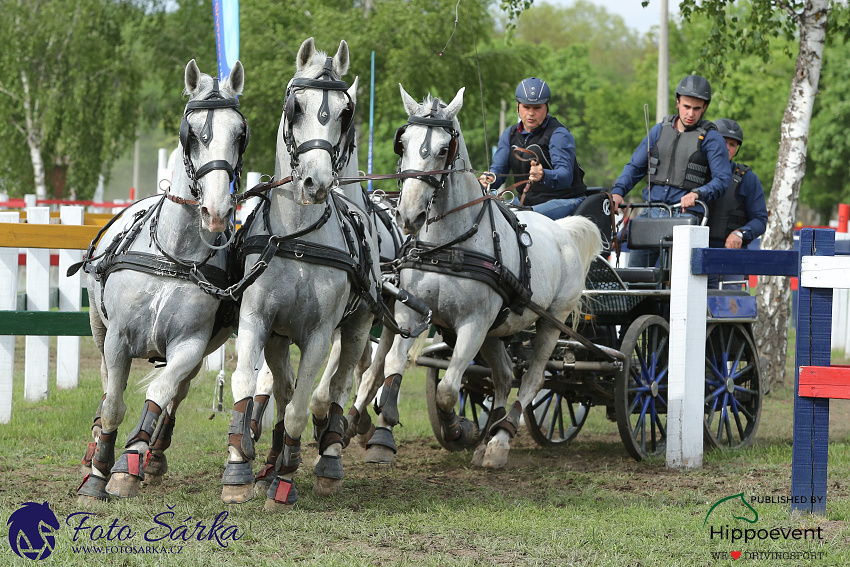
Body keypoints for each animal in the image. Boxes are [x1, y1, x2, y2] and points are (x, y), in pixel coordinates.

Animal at [75, 58, 248, 502]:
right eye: (192, 133)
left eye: (239, 134)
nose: (216, 212)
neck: (174, 255)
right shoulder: (117, 338)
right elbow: (114, 403)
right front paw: (98, 470)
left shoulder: (190, 344)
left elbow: (161, 393)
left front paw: (130, 463)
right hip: (98, 327)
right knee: (107, 387)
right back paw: (95, 446)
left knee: (176, 393)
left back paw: (152, 454)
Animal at [220, 37, 380, 508]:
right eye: (296, 106)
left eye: (345, 112)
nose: (316, 182)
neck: (298, 239)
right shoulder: (258, 320)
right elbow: (246, 387)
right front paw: (240, 468)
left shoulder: (320, 334)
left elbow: (300, 407)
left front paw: (286, 480)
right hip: (278, 337)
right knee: (283, 387)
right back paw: (270, 461)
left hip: (358, 326)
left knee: (339, 387)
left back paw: (326, 460)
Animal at [362, 86, 600, 468]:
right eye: (404, 143)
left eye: (444, 149)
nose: (409, 216)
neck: (447, 245)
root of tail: (563, 230)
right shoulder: (411, 312)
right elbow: (392, 367)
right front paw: (382, 437)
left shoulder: (473, 324)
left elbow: (447, 390)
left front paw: (460, 430)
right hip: (496, 329)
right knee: (504, 375)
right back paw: (491, 436)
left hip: (551, 321)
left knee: (533, 378)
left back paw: (499, 441)